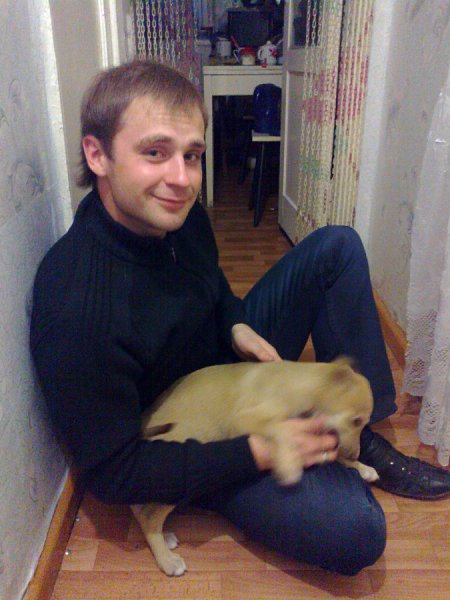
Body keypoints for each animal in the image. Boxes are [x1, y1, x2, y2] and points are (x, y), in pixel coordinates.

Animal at [131, 358, 379, 576]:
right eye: (356, 420)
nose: (356, 453)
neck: (306, 384)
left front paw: (362, 466)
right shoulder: (245, 420)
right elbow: (284, 431)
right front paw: (290, 465)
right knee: (147, 515)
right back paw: (166, 558)